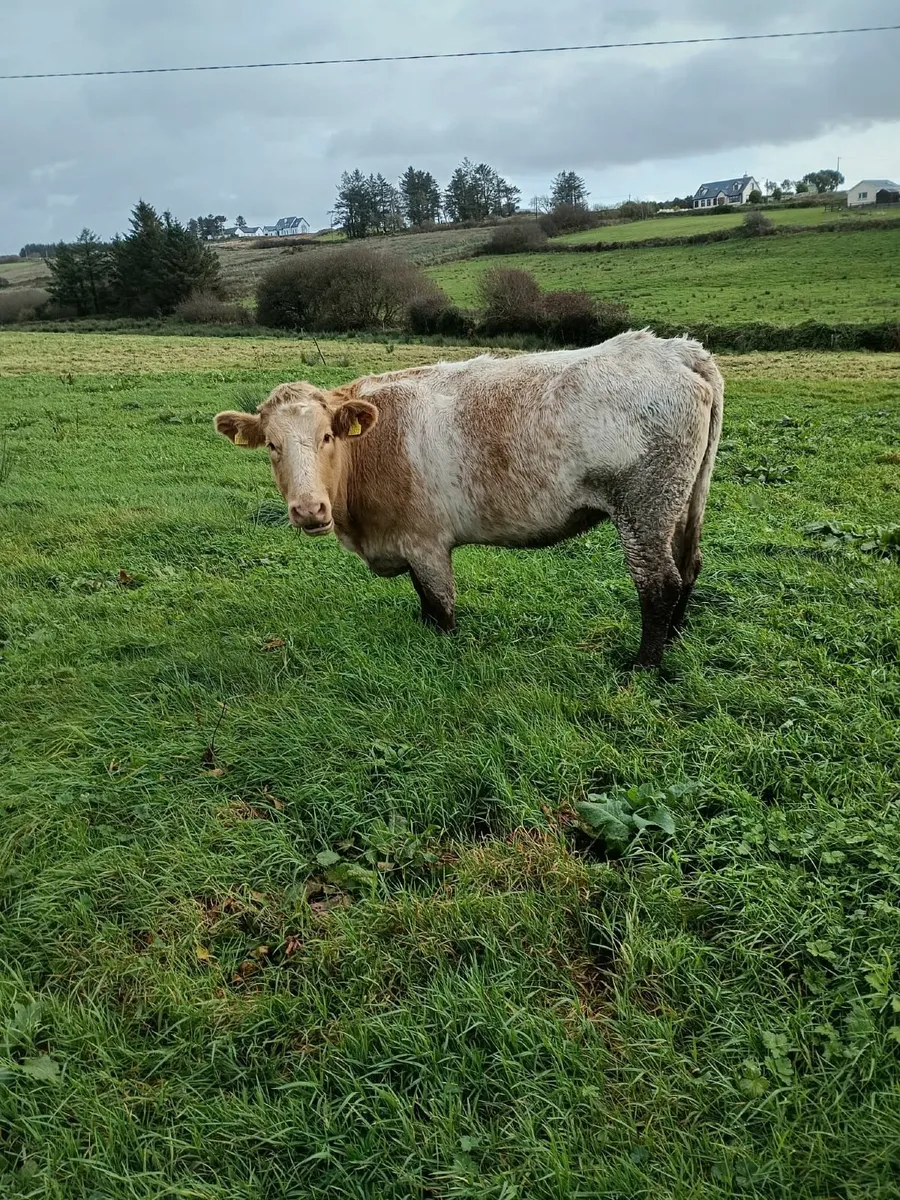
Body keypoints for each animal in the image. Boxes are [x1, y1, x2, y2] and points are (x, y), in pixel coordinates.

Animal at [214, 331, 723, 668]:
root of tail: (677, 349)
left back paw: (644, 666)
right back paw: (674, 639)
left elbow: (440, 607)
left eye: (325, 437)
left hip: (644, 507)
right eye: (272, 446)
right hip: (682, 501)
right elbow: (423, 601)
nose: (308, 510)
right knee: (688, 567)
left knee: (659, 584)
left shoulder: (426, 542)